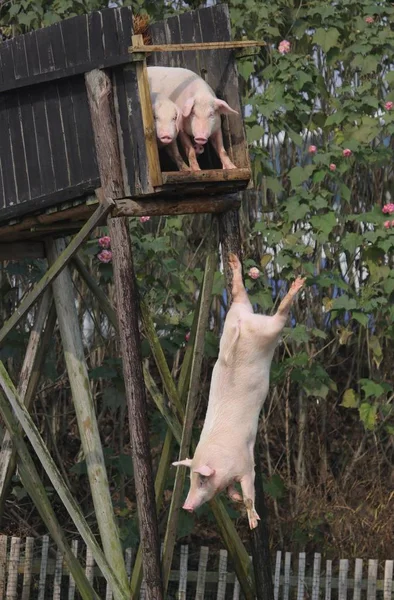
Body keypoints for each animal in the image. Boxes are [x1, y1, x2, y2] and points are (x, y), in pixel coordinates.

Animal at [174, 255, 306, 528]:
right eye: (190, 479)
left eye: (201, 480)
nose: (186, 506)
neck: (221, 460)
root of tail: (242, 325)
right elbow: (232, 491)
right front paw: (234, 499)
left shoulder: (246, 464)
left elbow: (248, 492)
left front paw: (253, 521)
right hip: (236, 314)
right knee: (239, 294)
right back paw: (235, 264)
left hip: (267, 331)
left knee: (279, 316)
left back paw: (296, 285)